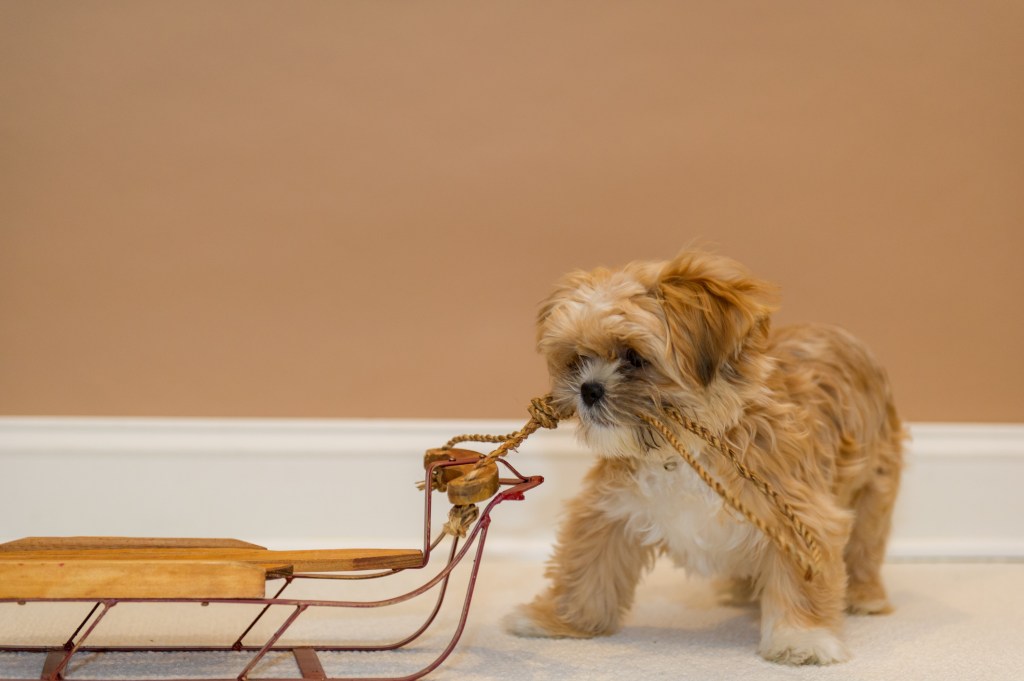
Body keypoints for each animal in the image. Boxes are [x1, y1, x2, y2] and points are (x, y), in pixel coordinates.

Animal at [505, 249, 905, 663]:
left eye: (634, 357)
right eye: (577, 359)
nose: (588, 389)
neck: (683, 450)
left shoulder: (797, 513)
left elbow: (801, 578)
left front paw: (802, 638)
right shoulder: (608, 508)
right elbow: (585, 567)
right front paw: (557, 619)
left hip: (875, 487)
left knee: (865, 545)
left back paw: (865, 596)